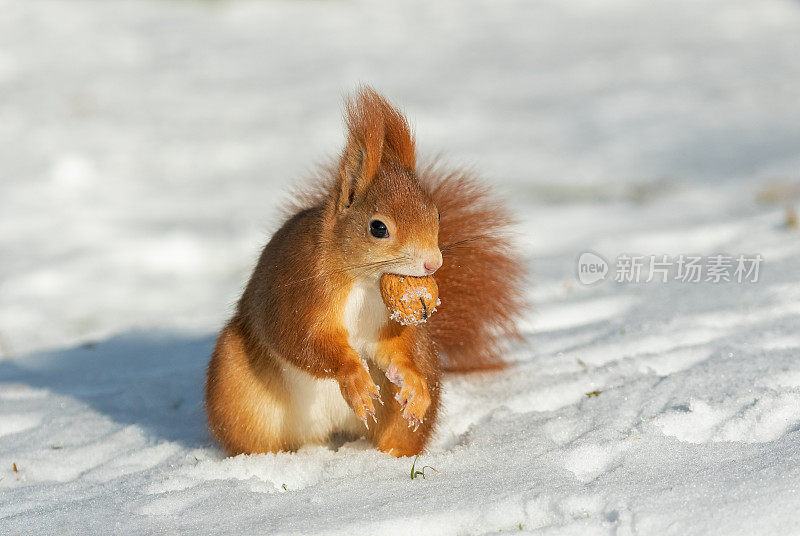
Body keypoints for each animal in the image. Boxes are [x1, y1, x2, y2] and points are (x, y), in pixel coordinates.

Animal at [206, 89, 524, 456]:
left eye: (438, 214)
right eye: (378, 228)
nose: (433, 264)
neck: (363, 283)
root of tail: (326, 433)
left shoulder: (384, 320)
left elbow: (391, 347)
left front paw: (410, 380)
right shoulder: (297, 294)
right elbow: (302, 342)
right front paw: (353, 376)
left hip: (417, 380)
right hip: (238, 390)